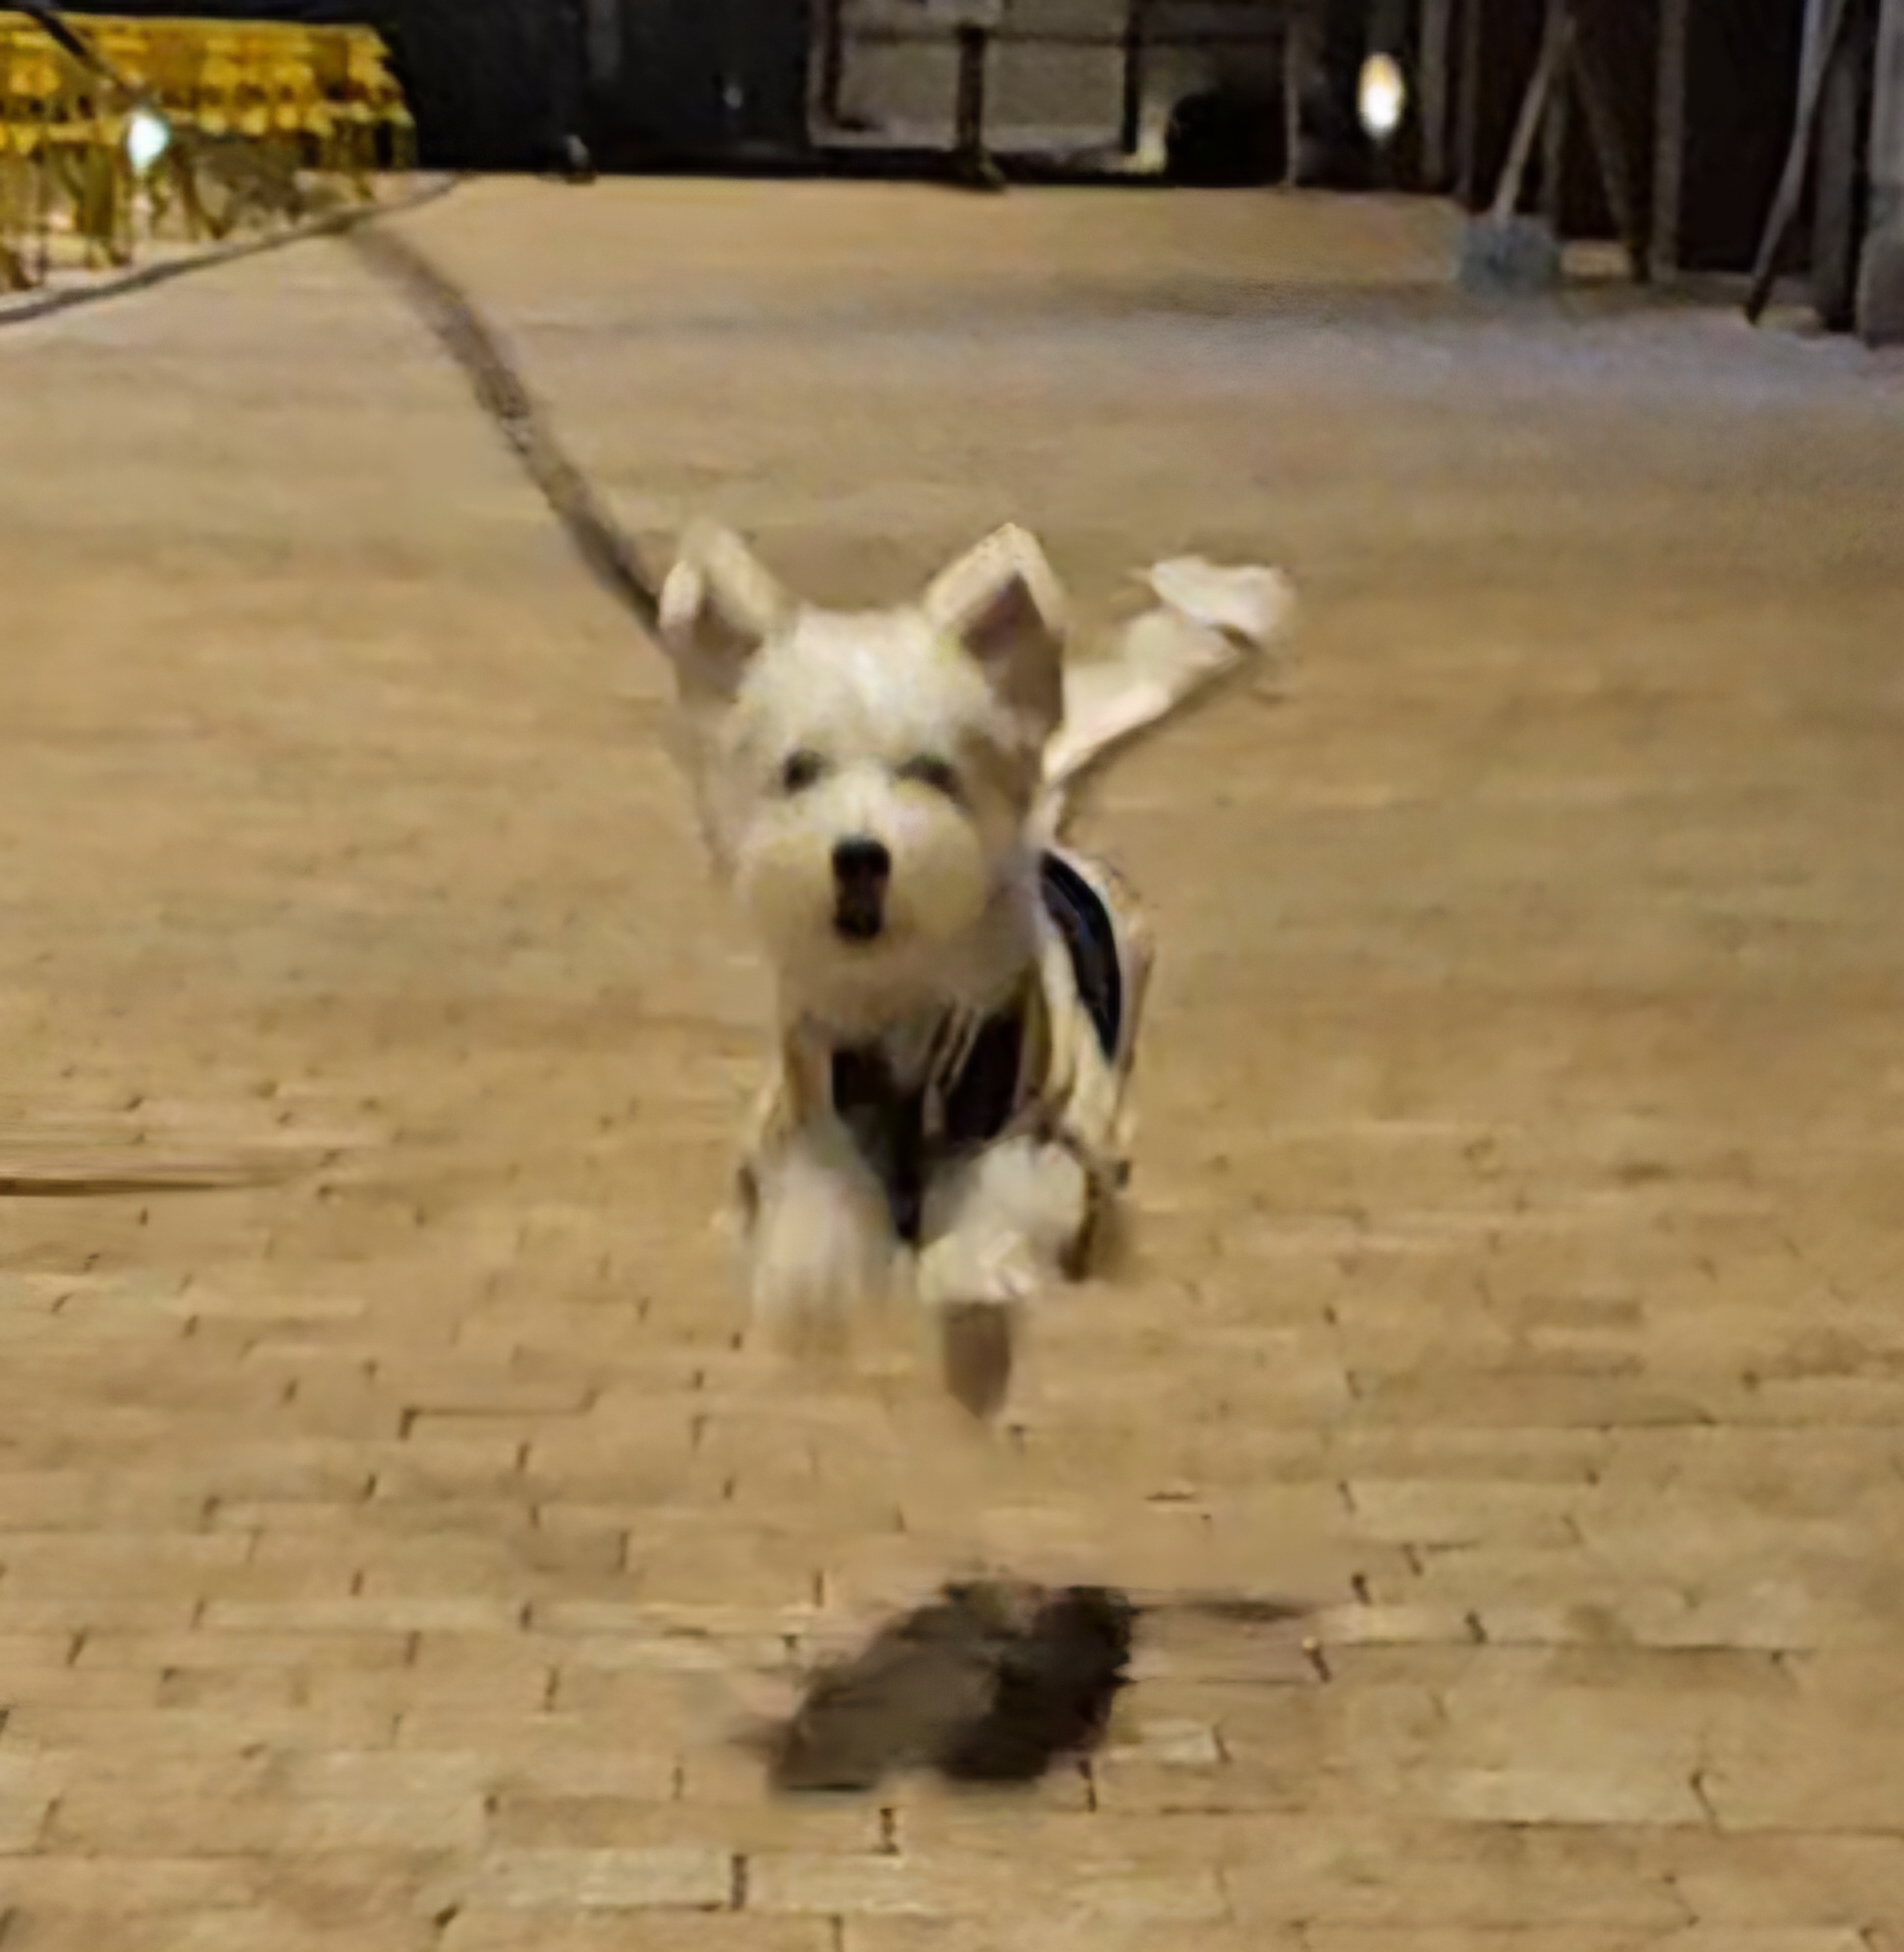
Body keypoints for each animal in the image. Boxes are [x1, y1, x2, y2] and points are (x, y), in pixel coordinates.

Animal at [655, 522, 1291, 1414]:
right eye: (800, 770)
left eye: (931, 772)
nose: (861, 856)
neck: (903, 995)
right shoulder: (816, 1116)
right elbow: (814, 1202)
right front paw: (808, 1284)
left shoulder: (1044, 1123)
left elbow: (1003, 1195)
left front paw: (969, 1281)